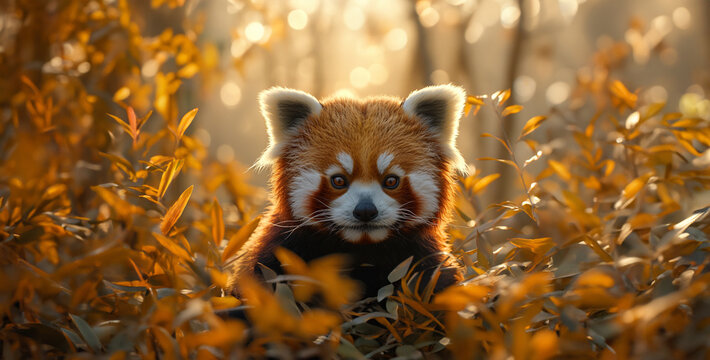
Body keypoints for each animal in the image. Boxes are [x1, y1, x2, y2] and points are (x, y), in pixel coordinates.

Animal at [228, 85, 470, 298]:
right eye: (338, 180)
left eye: (391, 180)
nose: (365, 211)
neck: (361, 251)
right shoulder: (277, 257)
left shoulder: (425, 262)